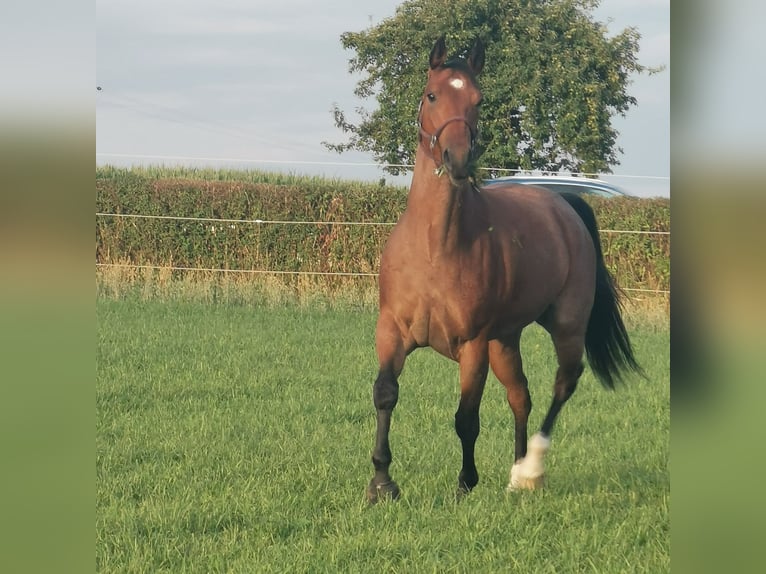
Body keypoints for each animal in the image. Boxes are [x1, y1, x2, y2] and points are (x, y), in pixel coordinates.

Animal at [366, 36, 643, 503]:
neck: (434, 247)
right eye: (432, 95)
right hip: (506, 340)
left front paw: (465, 484)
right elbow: (386, 394)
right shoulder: (392, 331)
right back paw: (515, 472)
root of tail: (564, 206)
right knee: (521, 395)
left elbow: (466, 417)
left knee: (563, 383)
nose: (457, 159)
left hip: (564, 325)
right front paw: (382, 483)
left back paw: (530, 469)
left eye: (478, 100)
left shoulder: (473, 345)